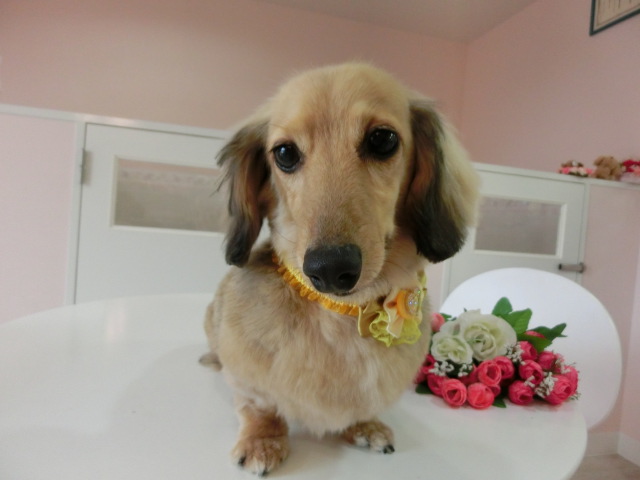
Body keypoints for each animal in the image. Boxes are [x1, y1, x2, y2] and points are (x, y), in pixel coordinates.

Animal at [201, 63, 479, 475]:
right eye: (284, 153)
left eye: (382, 140)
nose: (330, 269)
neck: (343, 315)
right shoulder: (247, 377)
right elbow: (259, 405)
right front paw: (262, 440)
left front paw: (364, 425)